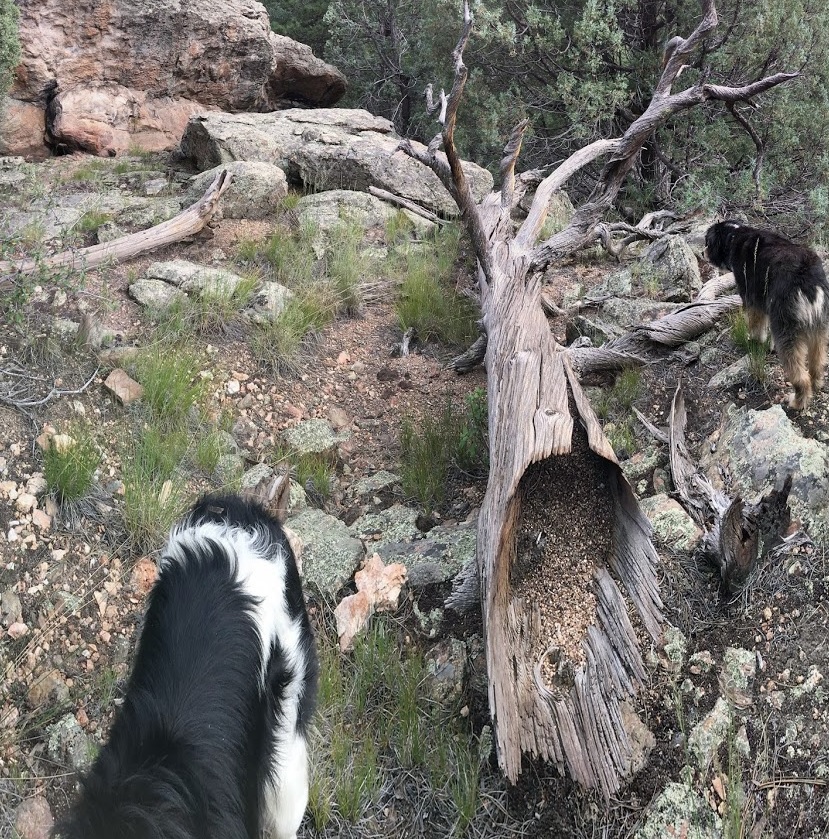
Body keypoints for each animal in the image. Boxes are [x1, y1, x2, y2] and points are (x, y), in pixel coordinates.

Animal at [704, 221, 828, 408]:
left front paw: (755, 340)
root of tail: (807, 280)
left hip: (788, 328)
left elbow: (756, 325)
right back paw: (816, 384)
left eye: (707, 242)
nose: (703, 253)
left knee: (800, 377)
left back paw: (797, 402)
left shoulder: (752, 298)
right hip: (819, 326)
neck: (734, 236)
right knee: (817, 363)